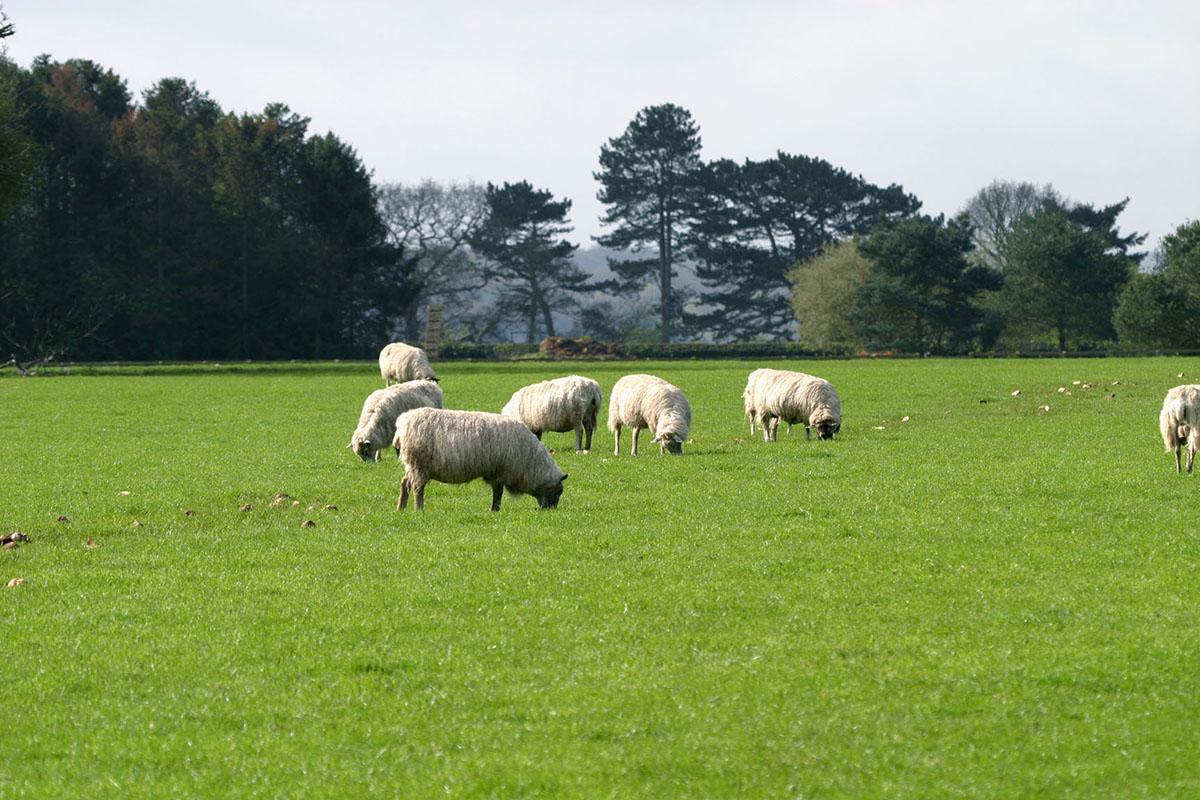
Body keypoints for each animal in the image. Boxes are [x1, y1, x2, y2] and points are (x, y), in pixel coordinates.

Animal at [393, 407, 567, 511]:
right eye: (559, 491)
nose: (550, 511)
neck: (531, 463)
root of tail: (402, 424)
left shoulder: (496, 472)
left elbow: (497, 492)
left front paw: (494, 510)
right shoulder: (500, 471)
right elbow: (498, 493)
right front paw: (495, 510)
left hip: (412, 465)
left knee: (405, 483)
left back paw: (401, 508)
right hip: (419, 464)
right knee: (417, 488)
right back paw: (419, 509)